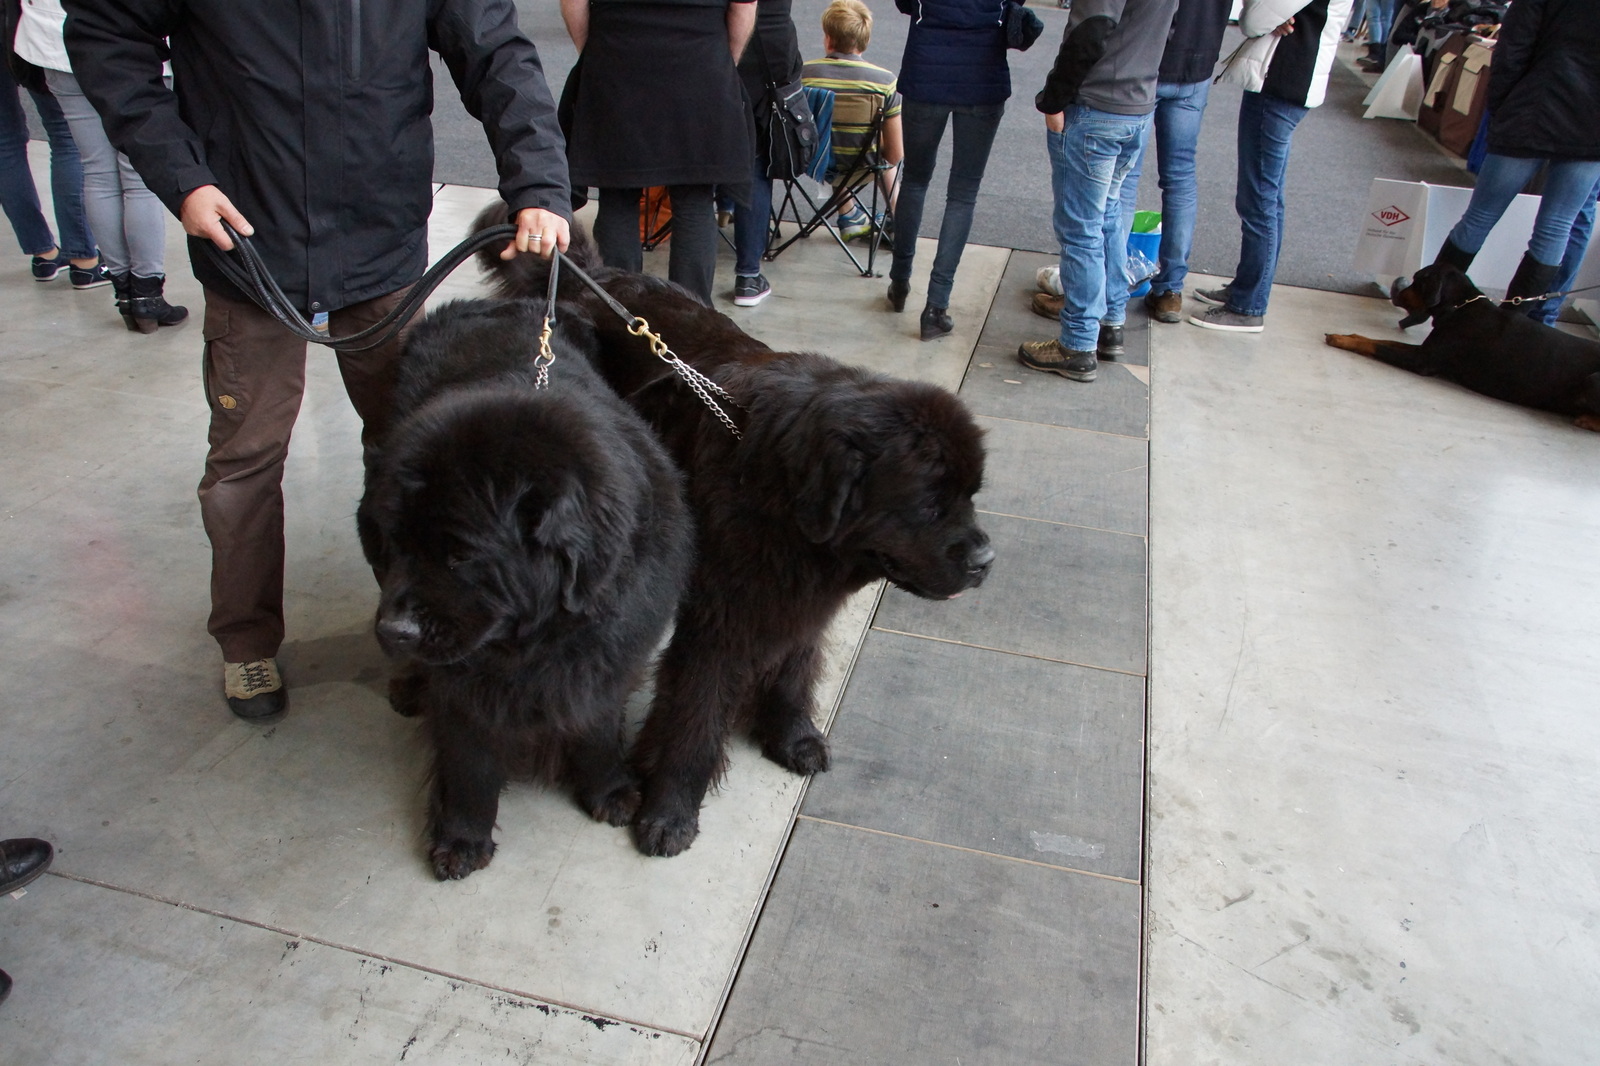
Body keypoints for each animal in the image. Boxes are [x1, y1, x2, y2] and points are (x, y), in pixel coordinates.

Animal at [360, 294, 691, 877]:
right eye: (394, 545)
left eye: (461, 556)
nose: (394, 631)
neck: (535, 643)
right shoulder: (463, 688)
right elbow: (468, 758)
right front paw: (462, 835)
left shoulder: (605, 657)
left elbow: (595, 724)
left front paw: (608, 789)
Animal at [480, 222, 992, 857]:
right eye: (928, 504)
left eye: (972, 495)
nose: (986, 560)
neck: (783, 496)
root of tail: (591, 277)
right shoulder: (718, 623)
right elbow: (695, 717)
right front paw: (670, 811)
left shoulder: (800, 602)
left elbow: (794, 669)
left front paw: (792, 736)